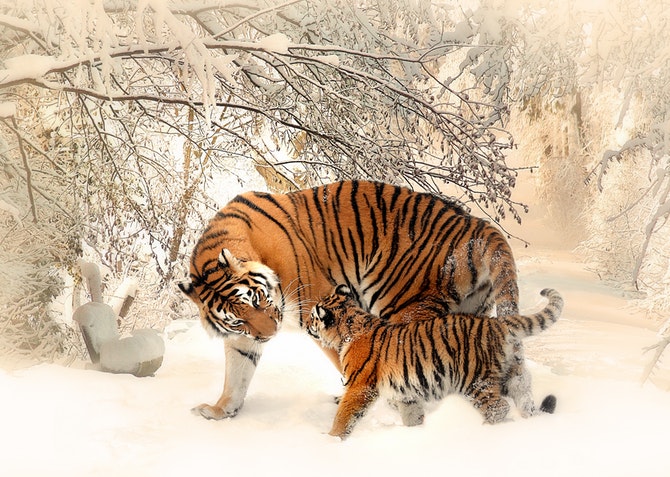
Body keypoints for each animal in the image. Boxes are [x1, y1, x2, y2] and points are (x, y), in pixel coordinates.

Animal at [178, 180, 526, 422]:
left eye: (258, 299)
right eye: (238, 319)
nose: (270, 334)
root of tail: (477, 224)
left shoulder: (320, 308)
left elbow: (348, 360)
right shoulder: (242, 338)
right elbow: (236, 374)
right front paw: (220, 410)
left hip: (403, 306)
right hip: (470, 314)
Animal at [305, 285, 563, 439]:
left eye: (313, 317)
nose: (306, 324)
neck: (350, 327)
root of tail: (497, 323)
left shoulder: (359, 387)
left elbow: (344, 415)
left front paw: (331, 440)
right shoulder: (406, 393)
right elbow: (412, 415)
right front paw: (416, 433)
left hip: (475, 381)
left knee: (498, 408)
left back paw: (485, 431)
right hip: (513, 376)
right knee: (525, 399)